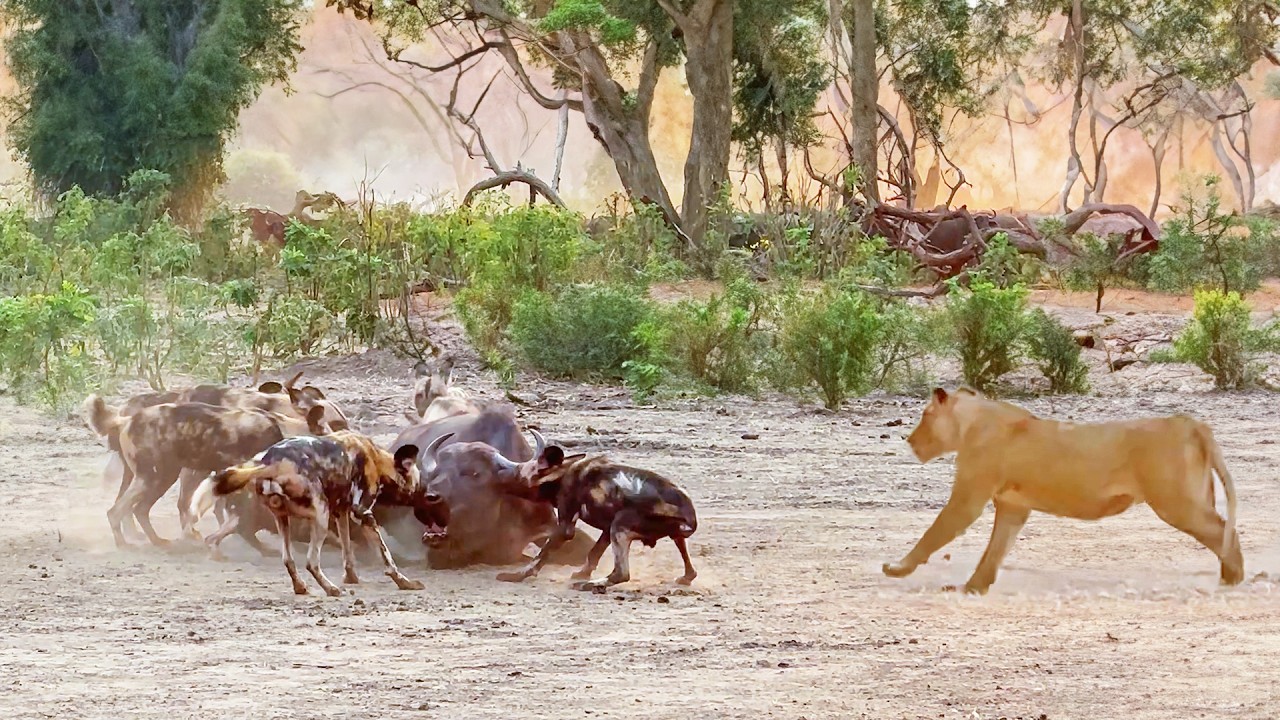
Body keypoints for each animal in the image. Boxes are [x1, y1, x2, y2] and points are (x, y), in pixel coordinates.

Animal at [190, 430, 430, 594]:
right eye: (417, 482)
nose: (426, 495)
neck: (377, 460)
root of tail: (271, 462)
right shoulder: (361, 513)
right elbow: (387, 557)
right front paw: (405, 582)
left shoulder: (341, 513)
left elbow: (347, 552)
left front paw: (352, 578)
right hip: (320, 517)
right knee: (311, 561)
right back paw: (331, 589)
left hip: (283, 518)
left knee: (288, 559)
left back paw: (301, 587)